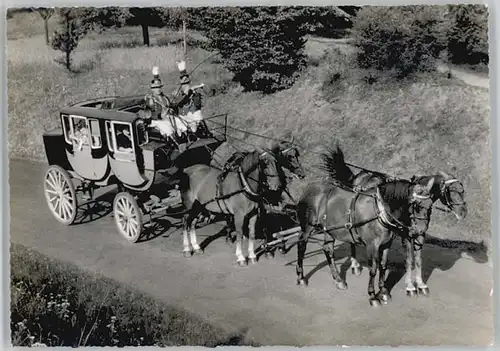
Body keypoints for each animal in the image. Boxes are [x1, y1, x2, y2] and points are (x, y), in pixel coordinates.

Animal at [294, 147, 436, 306]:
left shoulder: (386, 243)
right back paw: (301, 277)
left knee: (328, 249)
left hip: (329, 230)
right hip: (307, 226)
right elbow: (373, 269)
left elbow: (383, 266)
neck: (380, 210)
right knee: (301, 245)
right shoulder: (372, 245)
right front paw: (373, 296)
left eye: (430, 205)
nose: (420, 231)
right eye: (415, 205)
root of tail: (309, 187)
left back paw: (338, 280)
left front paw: (383, 292)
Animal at [324, 145, 468, 296]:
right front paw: (410, 286)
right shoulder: (406, 235)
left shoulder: (419, 234)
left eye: (462, 190)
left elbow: (418, 259)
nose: (463, 212)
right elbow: (409, 260)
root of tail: (359, 176)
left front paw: (421, 284)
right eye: (451, 190)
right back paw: (355, 265)